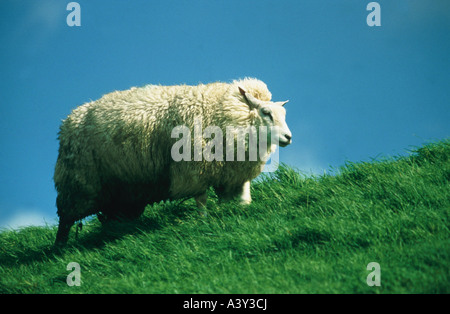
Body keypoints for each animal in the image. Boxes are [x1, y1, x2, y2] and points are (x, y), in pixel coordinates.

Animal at [53, 77, 292, 244]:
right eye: (266, 112)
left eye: (283, 114)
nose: (288, 137)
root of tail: (69, 120)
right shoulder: (195, 169)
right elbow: (201, 200)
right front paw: (203, 221)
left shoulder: (232, 174)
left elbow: (244, 199)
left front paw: (240, 214)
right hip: (78, 183)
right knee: (65, 220)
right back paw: (60, 248)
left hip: (122, 191)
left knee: (110, 218)